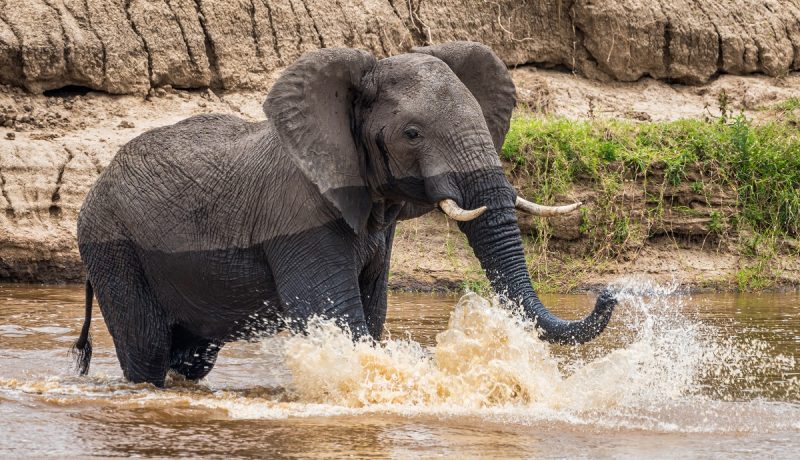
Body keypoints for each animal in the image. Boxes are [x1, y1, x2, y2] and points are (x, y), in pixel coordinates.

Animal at [71, 41, 617, 387]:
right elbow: (337, 316)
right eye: (412, 134)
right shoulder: (296, 217)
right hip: (112, 247)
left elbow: (371, 314)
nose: (607, 293)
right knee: (147, 352)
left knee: (191, 358)